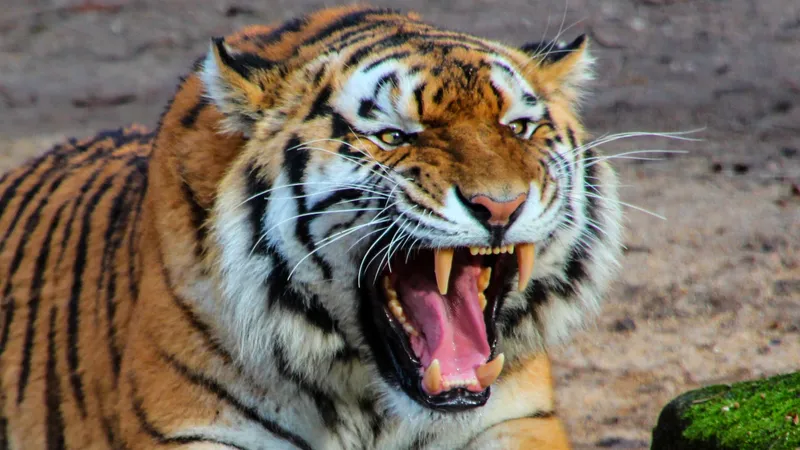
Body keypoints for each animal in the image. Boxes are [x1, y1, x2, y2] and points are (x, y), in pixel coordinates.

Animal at [0, 5, 623, 449]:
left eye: (518, 127)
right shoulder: (193, 423)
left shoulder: (516, 417)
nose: (500, 206)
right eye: (393, 136)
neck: (370, 403)